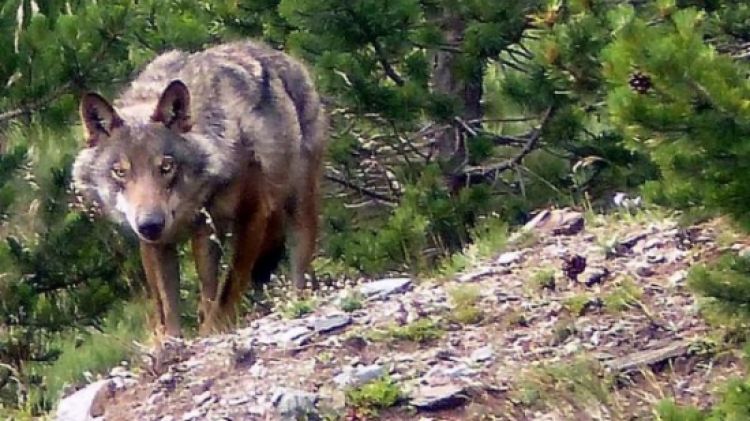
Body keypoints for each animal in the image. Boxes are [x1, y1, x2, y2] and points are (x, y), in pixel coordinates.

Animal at [72, 41, 328, 336]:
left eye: (166, 166)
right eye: (120, 172)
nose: (150, 224)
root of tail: (281, 54)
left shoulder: (252, 215)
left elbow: (229, 288)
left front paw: (212, 331)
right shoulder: (159, 242)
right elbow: (167, 303)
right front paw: (170, 341)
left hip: (297, 209)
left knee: (298, 271)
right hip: (206, 235)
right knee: (205, 289)